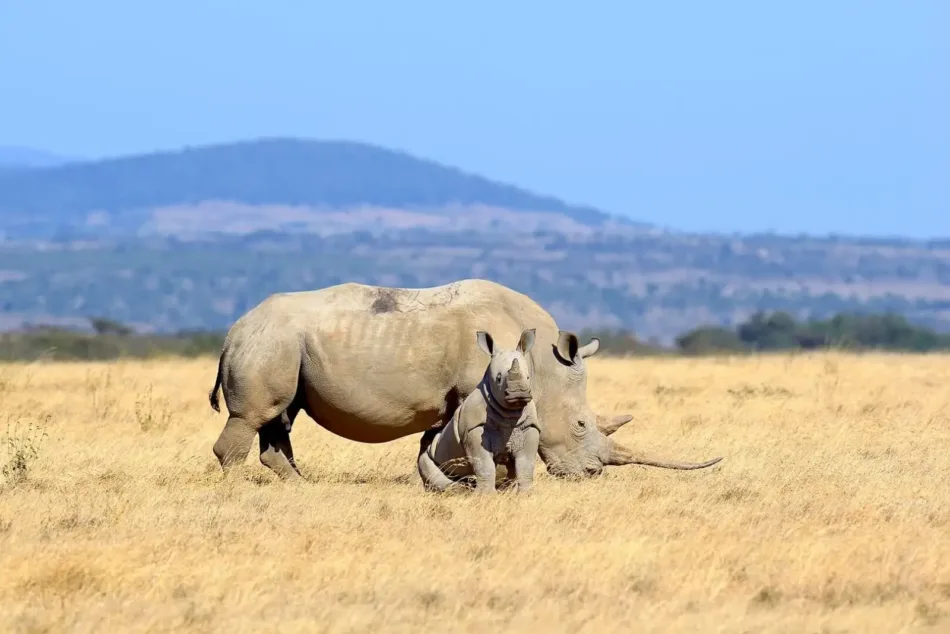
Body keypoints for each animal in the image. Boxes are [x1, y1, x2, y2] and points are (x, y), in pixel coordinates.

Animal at [418, 326, 544, 494]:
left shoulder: (529, 426)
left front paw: (527, 495)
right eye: (498, 378)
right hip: (430, 453)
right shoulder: (474, 428)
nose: (519, 393)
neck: (510, 413)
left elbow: (526, 464)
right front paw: (486, 496)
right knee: (429, 466)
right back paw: (461, 490)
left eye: (528, 377)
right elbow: (483, 463)